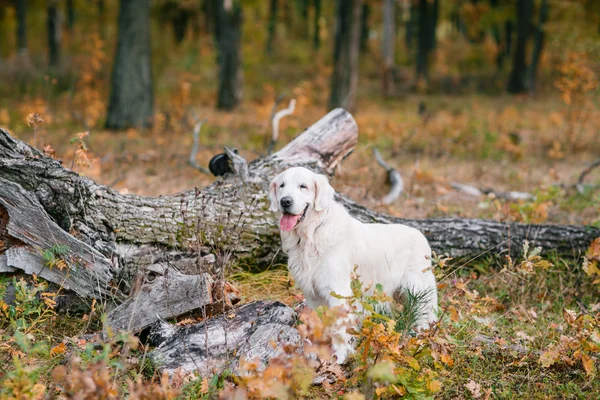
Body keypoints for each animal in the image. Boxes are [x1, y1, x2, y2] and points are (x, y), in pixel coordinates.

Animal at [270, 166, 438, 362]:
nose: (285, 201)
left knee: (422, 320)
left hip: (417, 291)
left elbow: (340, 331)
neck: (311, 235)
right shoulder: (312, 295)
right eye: (282, 185)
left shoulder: (338, 291)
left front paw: (340, 358)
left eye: (303, 186)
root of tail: (422, 237)